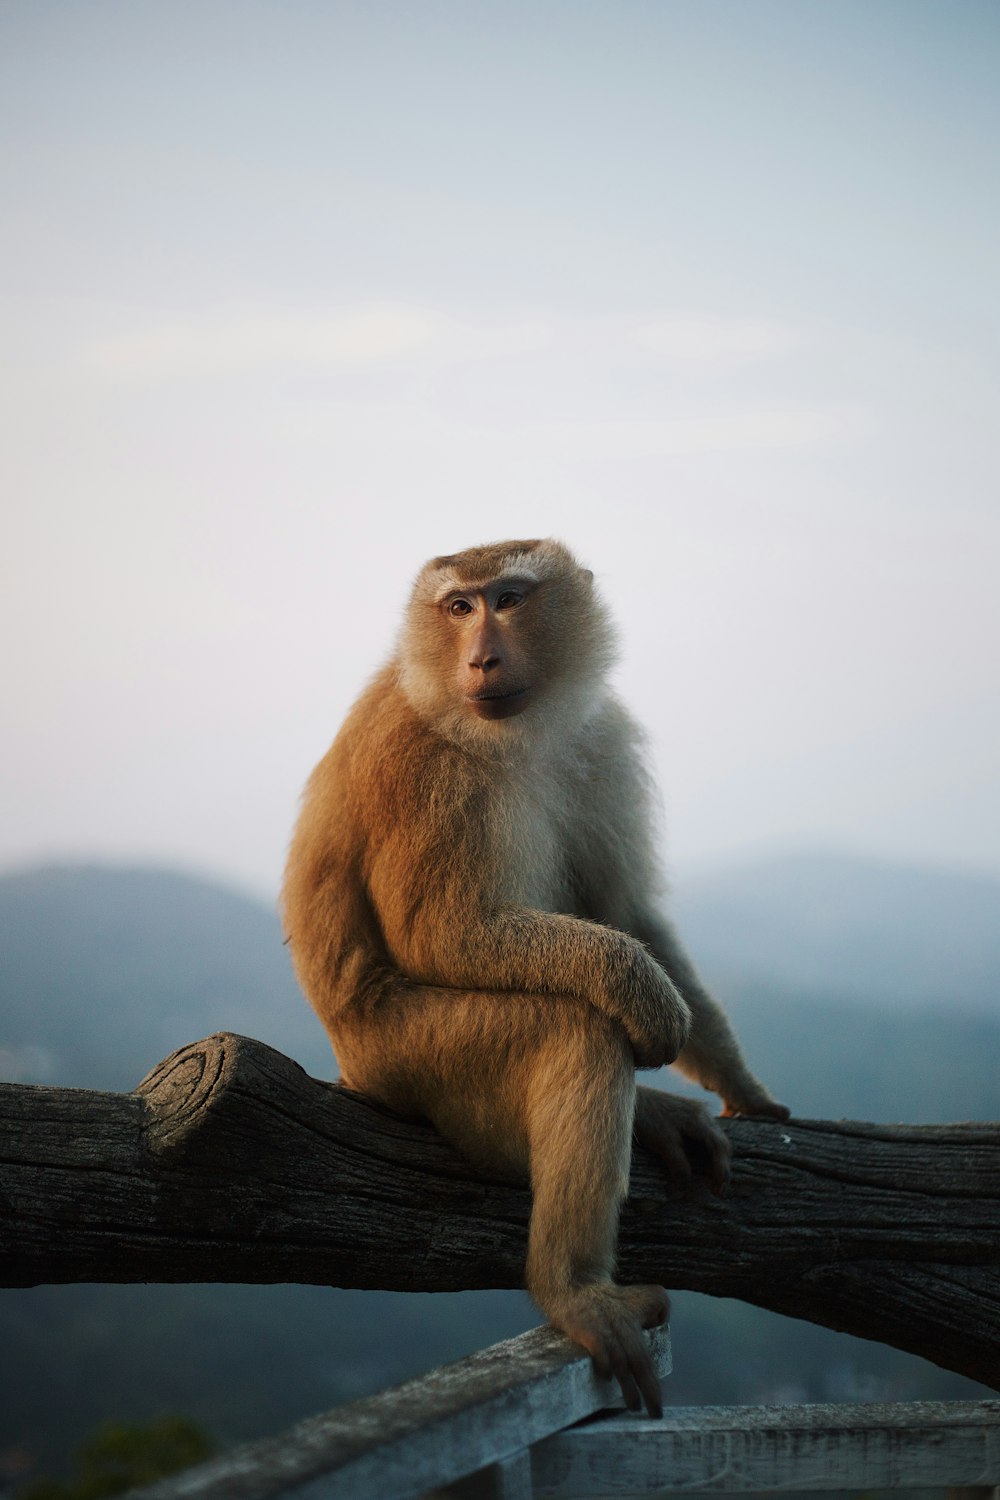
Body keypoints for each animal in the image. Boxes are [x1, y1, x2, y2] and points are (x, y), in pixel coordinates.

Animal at [281, 540, 791, 1416]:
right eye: (458, 607)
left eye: (509, 600)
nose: (481, 656)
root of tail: (349, 1066)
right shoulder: (421, 764)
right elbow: (442, 932)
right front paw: (641, 991)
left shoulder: (599, 739)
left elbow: (629, 908)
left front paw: (742, 1085)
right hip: (406, 1055)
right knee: (574, 1028)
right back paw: (574, 1289)